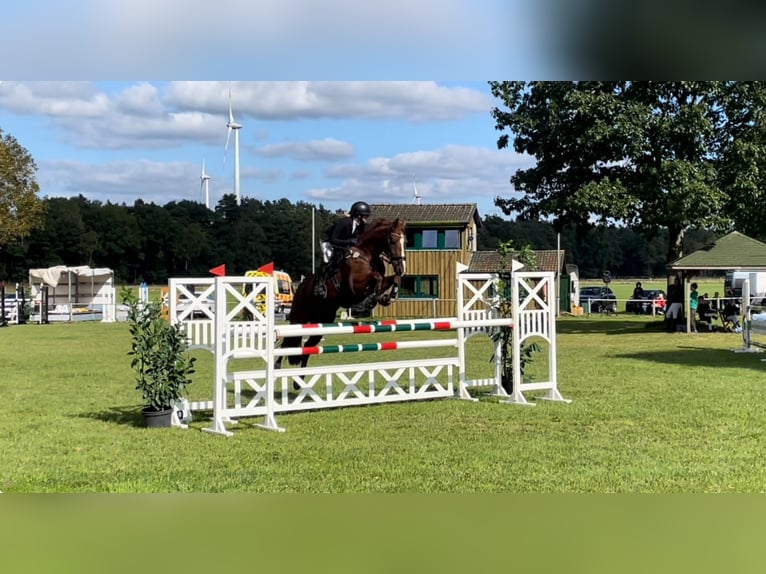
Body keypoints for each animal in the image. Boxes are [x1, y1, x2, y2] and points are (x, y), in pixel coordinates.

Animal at [276, 218, 408, 372]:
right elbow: (377, 278)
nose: (401, 268)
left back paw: (301, 377)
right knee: (287, 343)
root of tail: (300, 288)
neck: (367, 254)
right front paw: (369, 302)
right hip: (299, 317)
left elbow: (393, 279)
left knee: (308, 346)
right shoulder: (354, 287)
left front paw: (388, 297)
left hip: (322, 319)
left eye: (405, 242)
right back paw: (277, 366)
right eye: (393, 240)